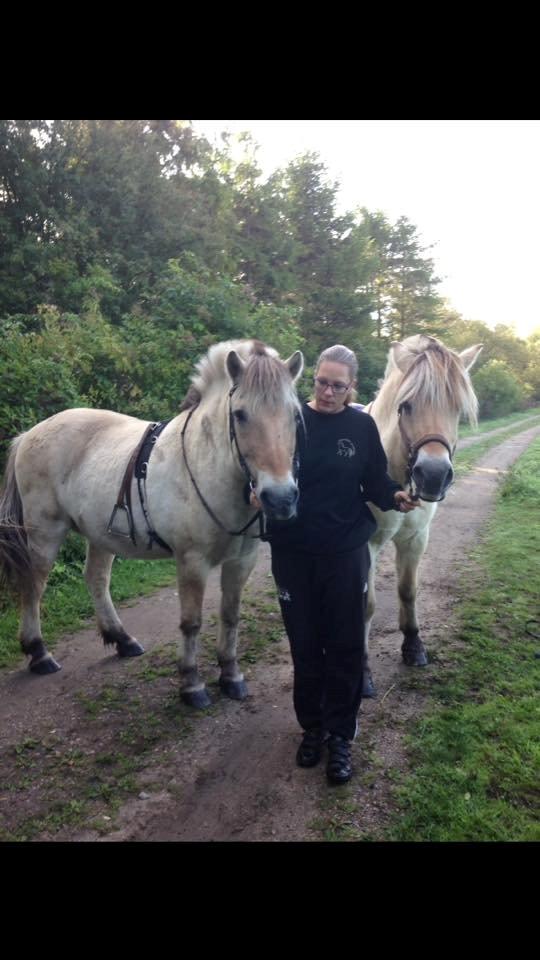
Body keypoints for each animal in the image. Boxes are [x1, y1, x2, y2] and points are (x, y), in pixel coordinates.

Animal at [0, 338, 304, 704]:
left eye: (295, 415)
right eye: (240, 414)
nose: (281, 497)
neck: (207, 462)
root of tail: (30, 433)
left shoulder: (242, 561)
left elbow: (230, 617)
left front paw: (231, 675)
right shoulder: (192, 561)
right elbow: (191, 622)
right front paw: (192, 684)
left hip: (99, 535)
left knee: (96, 579)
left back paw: (121, 638)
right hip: (44, 531)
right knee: (34, 584)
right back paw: (39, 652)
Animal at [362, 334, 480, 692]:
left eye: (456, 409)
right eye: (406, 406)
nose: (433, 475)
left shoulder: (415, 538)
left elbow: (408, 590)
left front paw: (413, 645)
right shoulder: (366, 545)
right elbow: (366, 605)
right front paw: (362, 671)